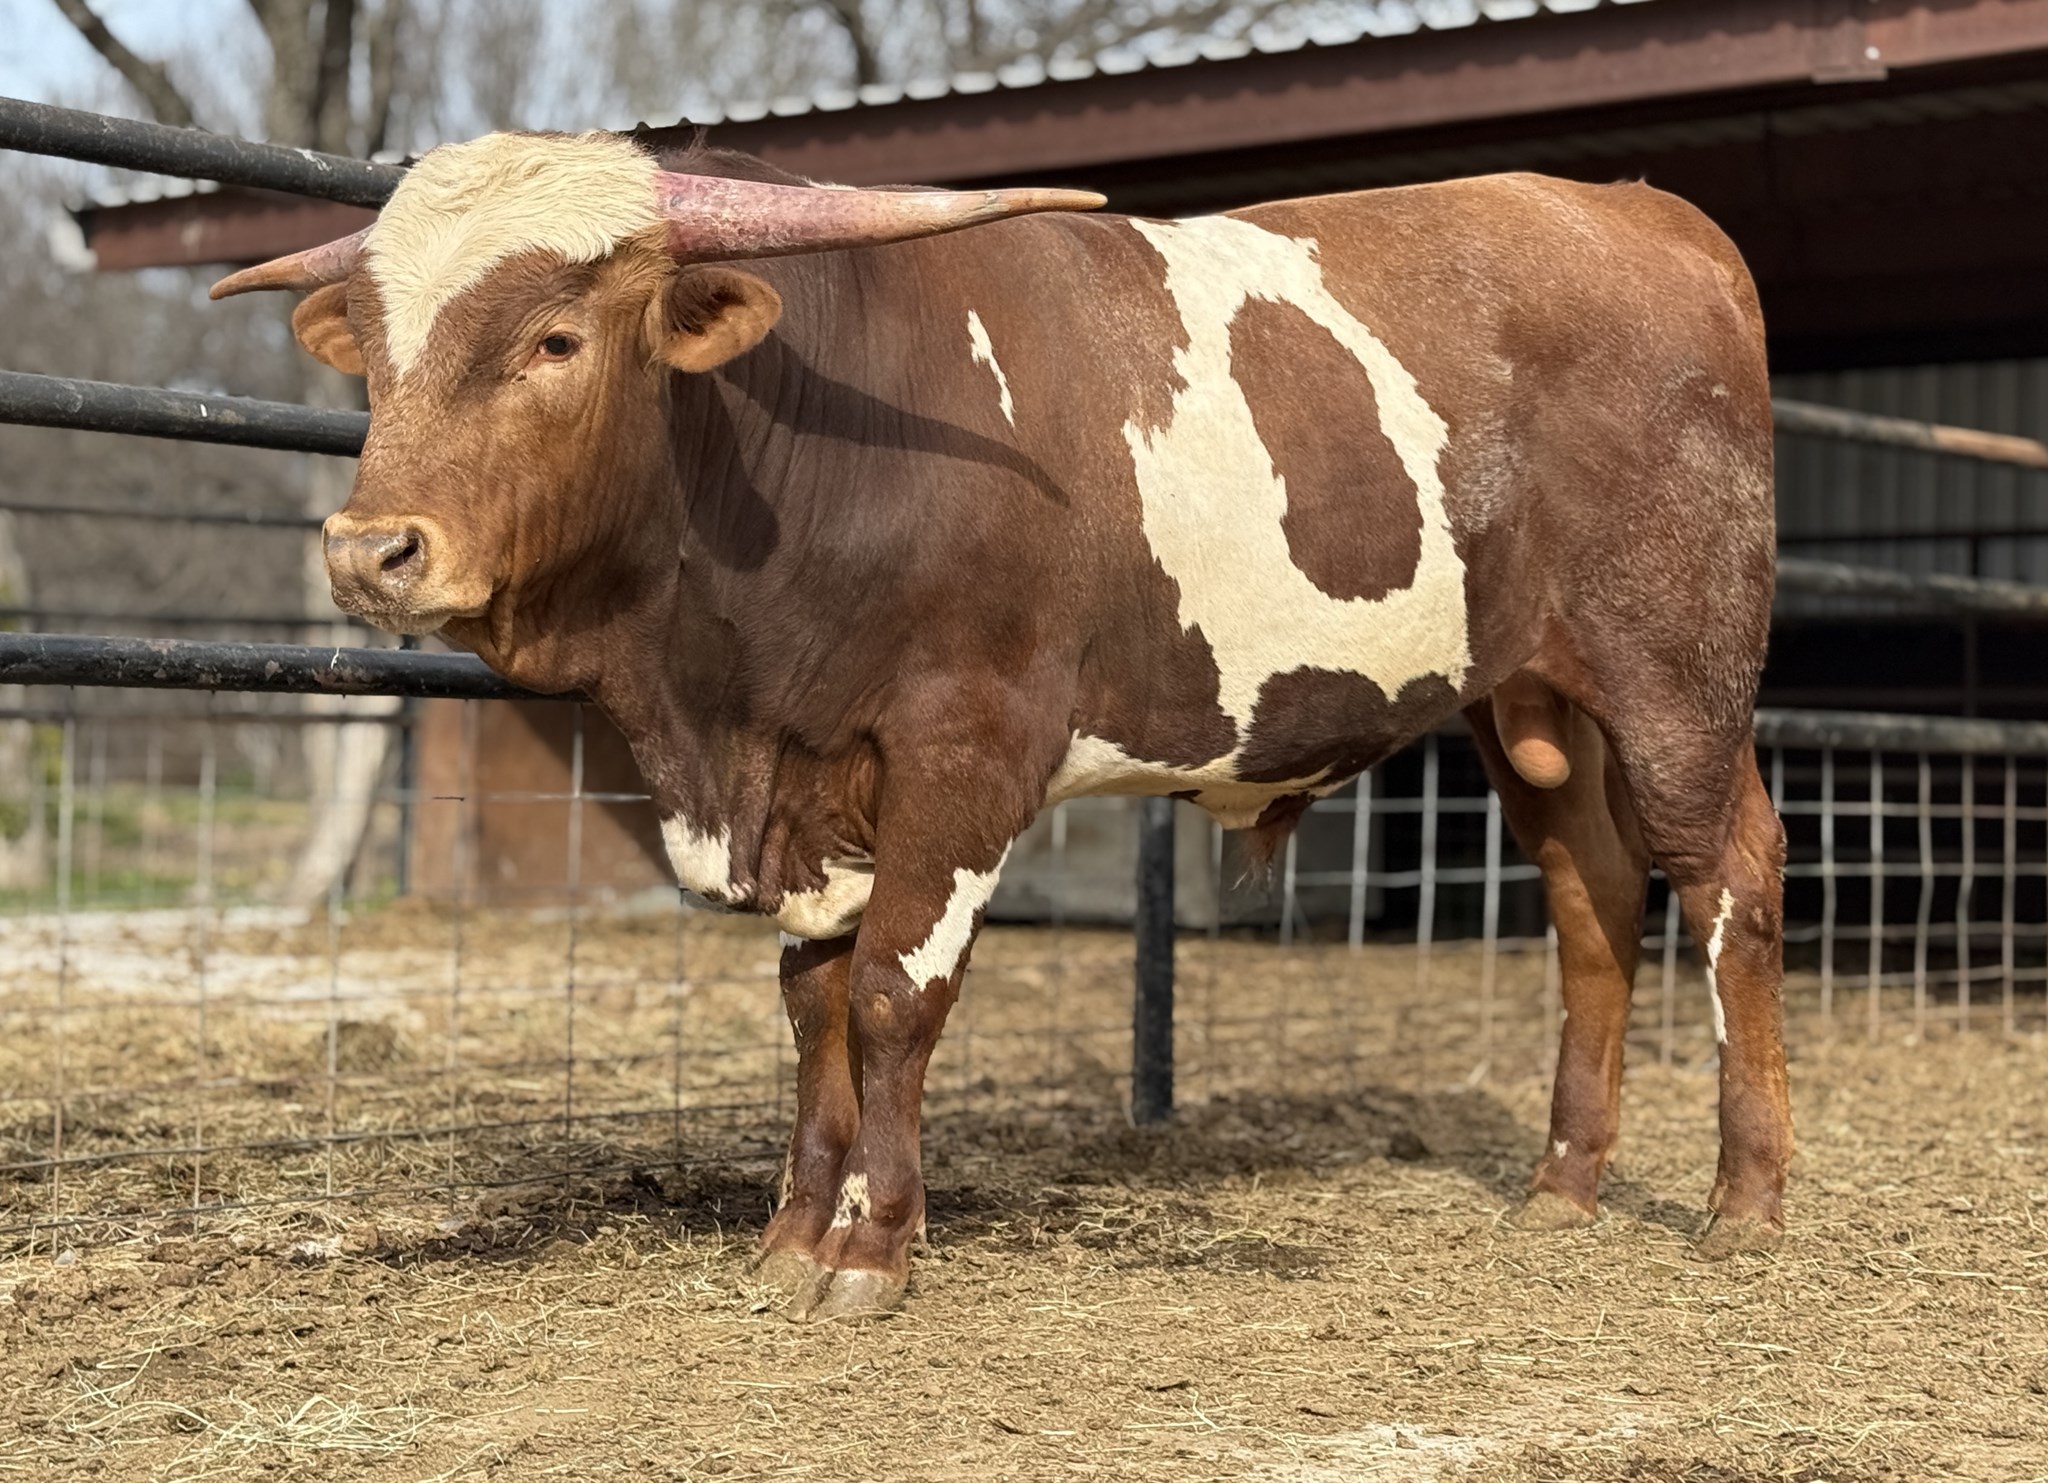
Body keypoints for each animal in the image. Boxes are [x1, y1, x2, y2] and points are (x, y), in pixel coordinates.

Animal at [213, 129, 1792, 1320]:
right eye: (375, 357)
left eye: (555, 336)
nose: (371, 551)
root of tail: (1643, 212)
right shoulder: (814, 786)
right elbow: (814, 1006)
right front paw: (791, 1233)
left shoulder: (965, 752)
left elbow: (894, 995)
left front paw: (869, 1249)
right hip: (1529, 703)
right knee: (1593, 899)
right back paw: (1564, 1184)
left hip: (1676, 676)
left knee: (1729, 881)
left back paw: (1746, 1199)